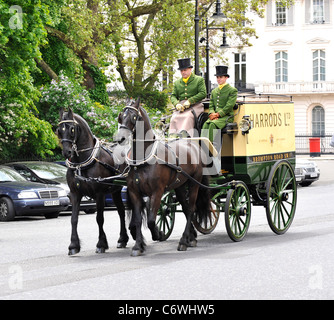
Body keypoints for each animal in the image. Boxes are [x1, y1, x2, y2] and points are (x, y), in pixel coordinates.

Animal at [56, 107, 130, 255]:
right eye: (59, 130)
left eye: (72, 129)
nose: (66, 152)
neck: (82, 163)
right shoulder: (75, 194)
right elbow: (73, 219)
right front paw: (73, 245)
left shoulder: (99, 194)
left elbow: (99, 218)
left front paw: (101, 244)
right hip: (116, 191)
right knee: (121, 211)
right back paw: (122, 239)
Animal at [116, 99, 210, 256]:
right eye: (121, 116)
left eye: (134, 117)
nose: (120, 138)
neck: (142, 160)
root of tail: (193, 144)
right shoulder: (134, 192)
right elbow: (137, 220)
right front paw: (138, 246)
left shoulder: (157, 192)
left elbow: (151, 220)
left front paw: (157, 234)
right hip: (180, 186)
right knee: (186, 209)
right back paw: (190, 238)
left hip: (194, 183)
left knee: (191, 209)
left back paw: (184, 240)